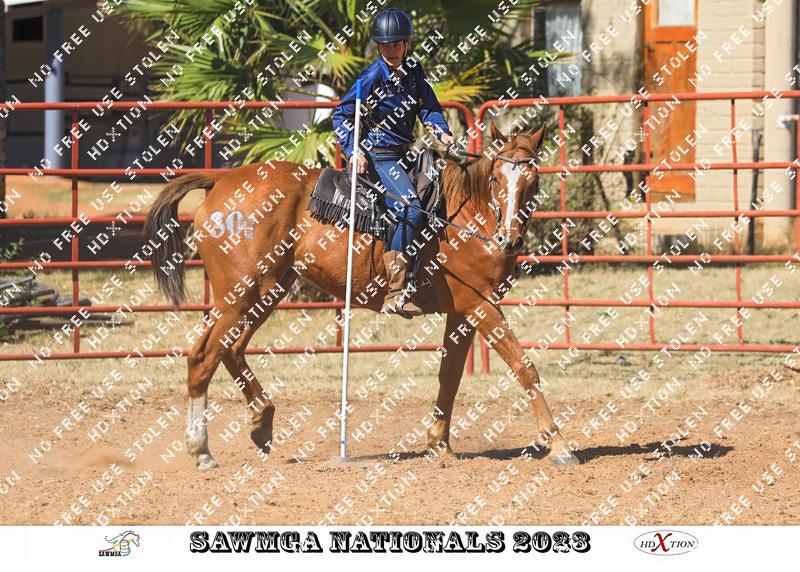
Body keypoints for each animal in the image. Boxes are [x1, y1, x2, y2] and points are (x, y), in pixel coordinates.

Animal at [143, 122, 581, 469]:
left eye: (533, 181)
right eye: (495, 180)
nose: (510, 240)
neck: (465, 214)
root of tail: (220, 181)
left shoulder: (462, 313)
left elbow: (450, 377)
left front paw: (439, 445)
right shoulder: (480, 305)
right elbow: (525, 368)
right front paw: (559, 444)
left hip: (265, 291)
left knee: (228, 351)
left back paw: (261, 423)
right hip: (239, 296)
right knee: (204, 357)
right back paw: (202, 451)